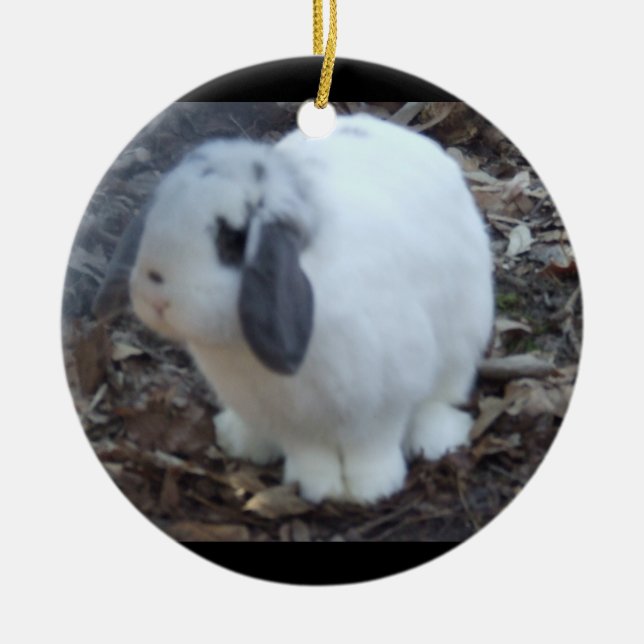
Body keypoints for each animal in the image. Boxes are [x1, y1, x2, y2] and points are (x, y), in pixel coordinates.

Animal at [108, 112, 494, 504]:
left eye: (234, 239)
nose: (154, 298)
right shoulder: (287, 417)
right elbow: (308, 452)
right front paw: (316, 486)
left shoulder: (384, 401)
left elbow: (372, 447)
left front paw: (372, 489)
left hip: (461, 344)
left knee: (439, 399)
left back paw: (437, 440)